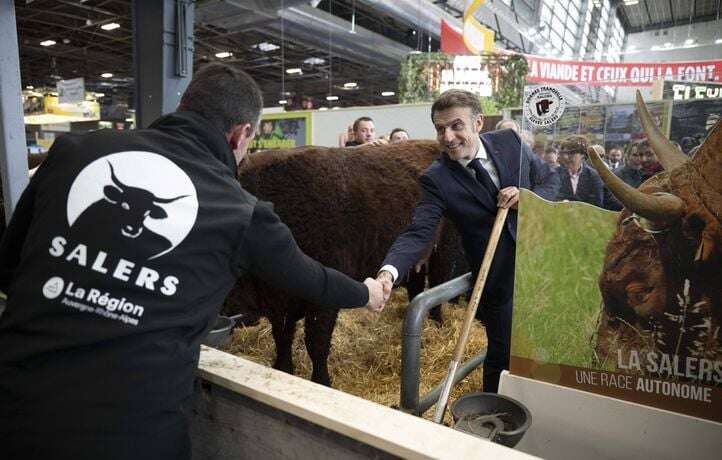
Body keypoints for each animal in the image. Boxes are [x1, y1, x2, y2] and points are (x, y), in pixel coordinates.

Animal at [222, 142, 464, 386]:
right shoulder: (280, 303)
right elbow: (282, 338)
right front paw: (283, 369)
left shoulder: (323, 301)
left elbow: (316, 343)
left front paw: (321, 381)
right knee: (417, 289)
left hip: (444, 250)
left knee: (437, 290)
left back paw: (436, 327)